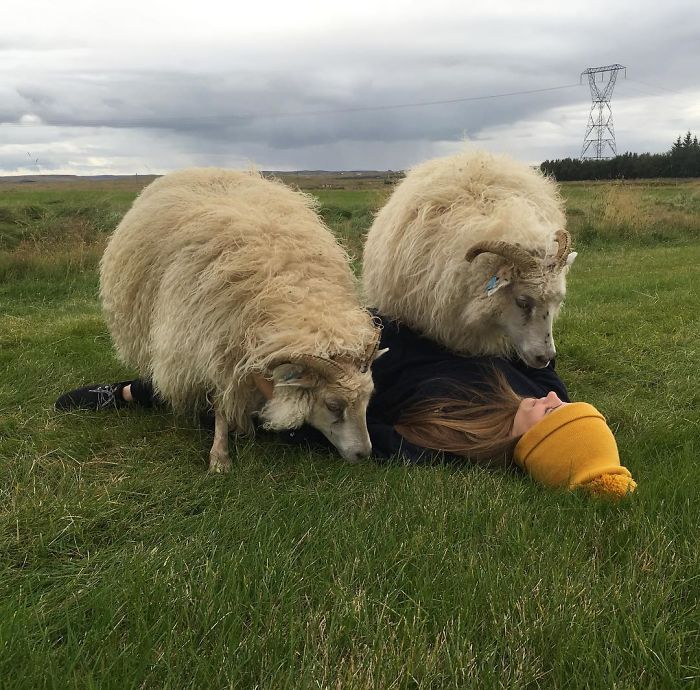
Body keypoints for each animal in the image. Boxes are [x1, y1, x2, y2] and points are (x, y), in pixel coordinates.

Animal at [100, 168, 384, 472]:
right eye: (333, 405)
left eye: (368, 399)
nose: (364, 454)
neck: (289, 289)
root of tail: (204, 169)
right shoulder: (216, 347)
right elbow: (222, 403)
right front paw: (220, 455)